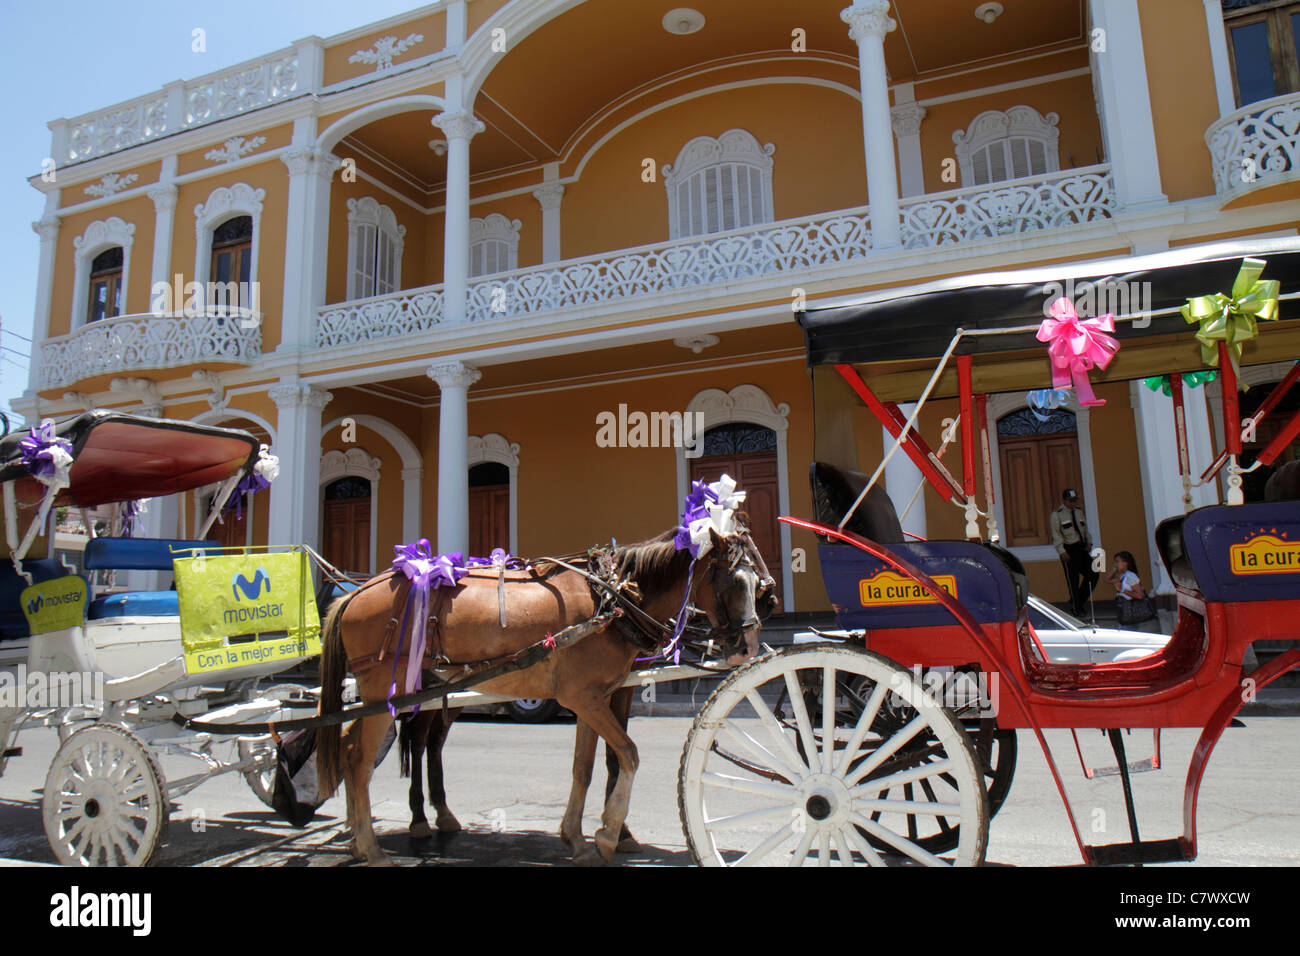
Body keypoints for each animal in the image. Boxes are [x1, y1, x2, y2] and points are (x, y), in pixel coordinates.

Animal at [315, 528, 764, 863]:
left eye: (757, 581)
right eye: (733, 580)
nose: (747, 646)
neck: (614, 600)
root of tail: (353, 593)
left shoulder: (591, 699)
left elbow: (585, 766)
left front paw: (576, 837)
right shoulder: (585, 698)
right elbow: (629, 754)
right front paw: (608, 834)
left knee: (359, 746)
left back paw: (366, 834)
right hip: (388, 688)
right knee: (362, 758)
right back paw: (373, 846)